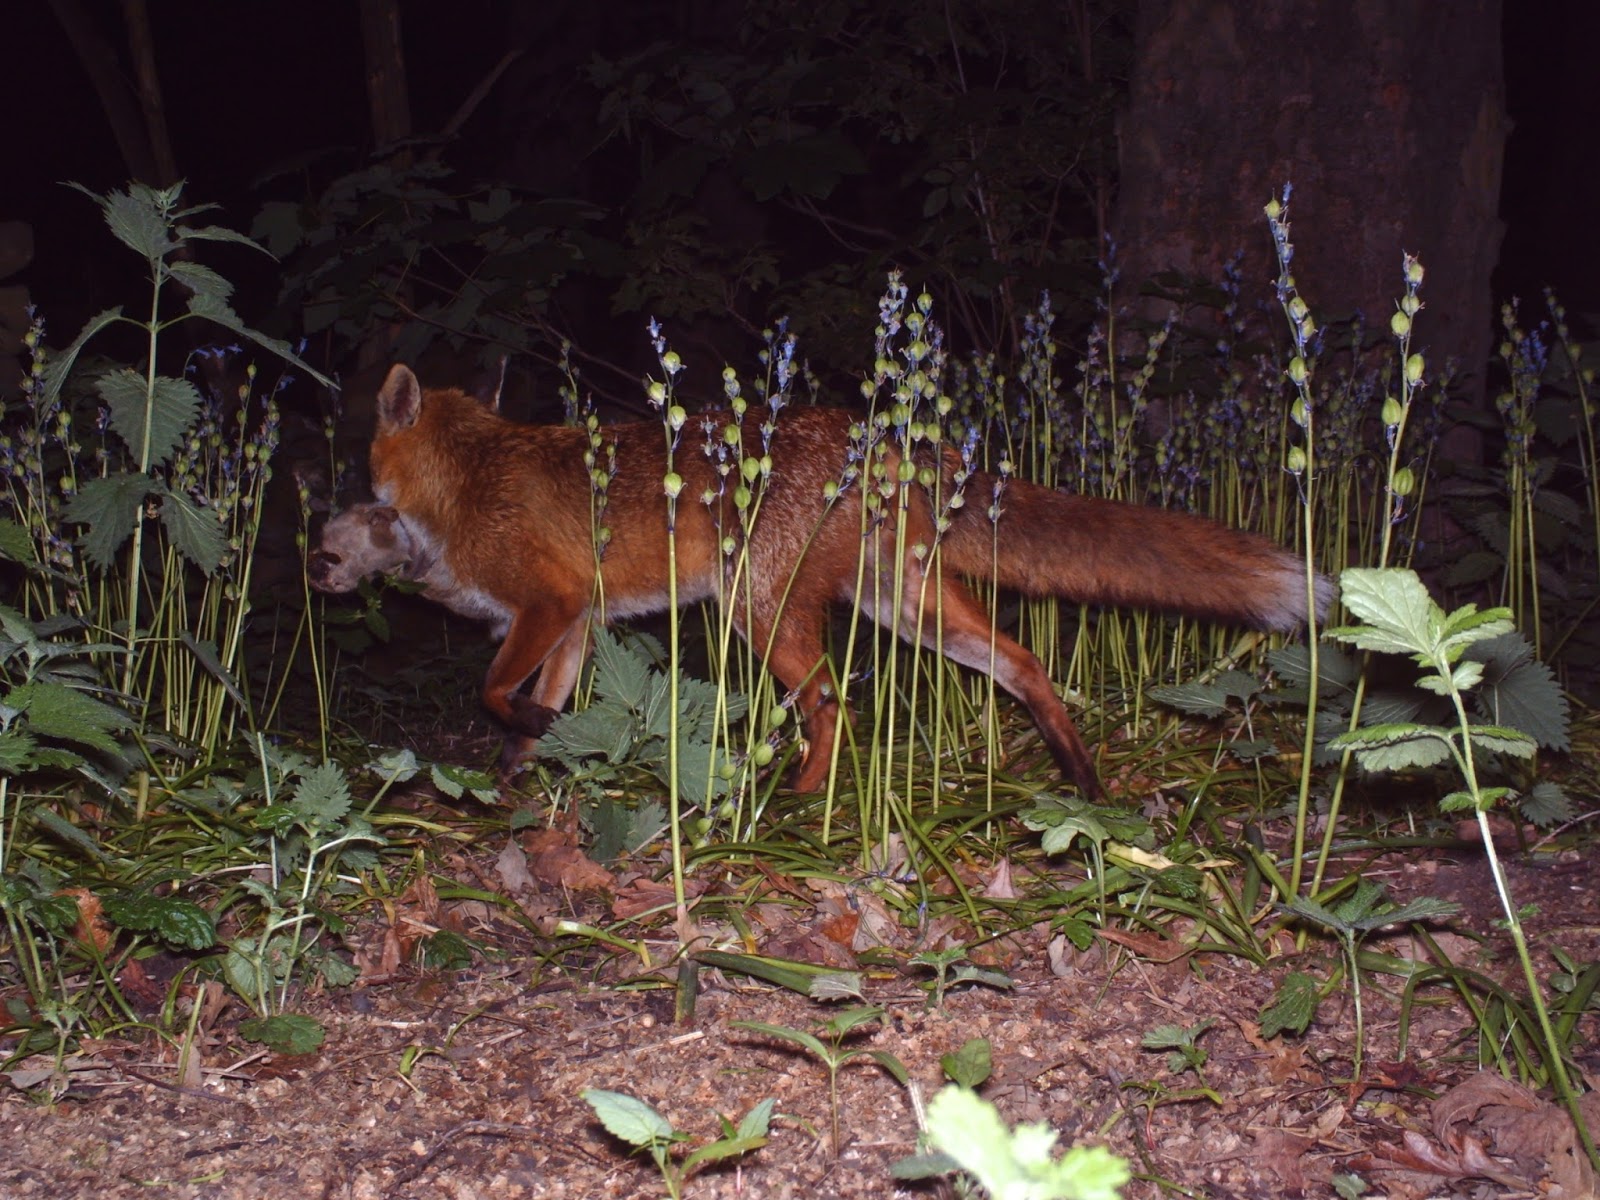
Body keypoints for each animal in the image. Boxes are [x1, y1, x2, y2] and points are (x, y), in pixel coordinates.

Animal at [310, 363, 1333, 799]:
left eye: (363, 462)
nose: (325, 562)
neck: (469, 475)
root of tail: (877, 438)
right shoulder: (574, 622)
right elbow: (541, 713)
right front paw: (521, 775)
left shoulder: (551, 602)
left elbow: (492, 691)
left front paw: (519, 735)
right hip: (908, 607)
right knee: (1021, 661)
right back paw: (1080, 776)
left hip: (762, 612)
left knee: (833, 700)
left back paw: (802, 796)